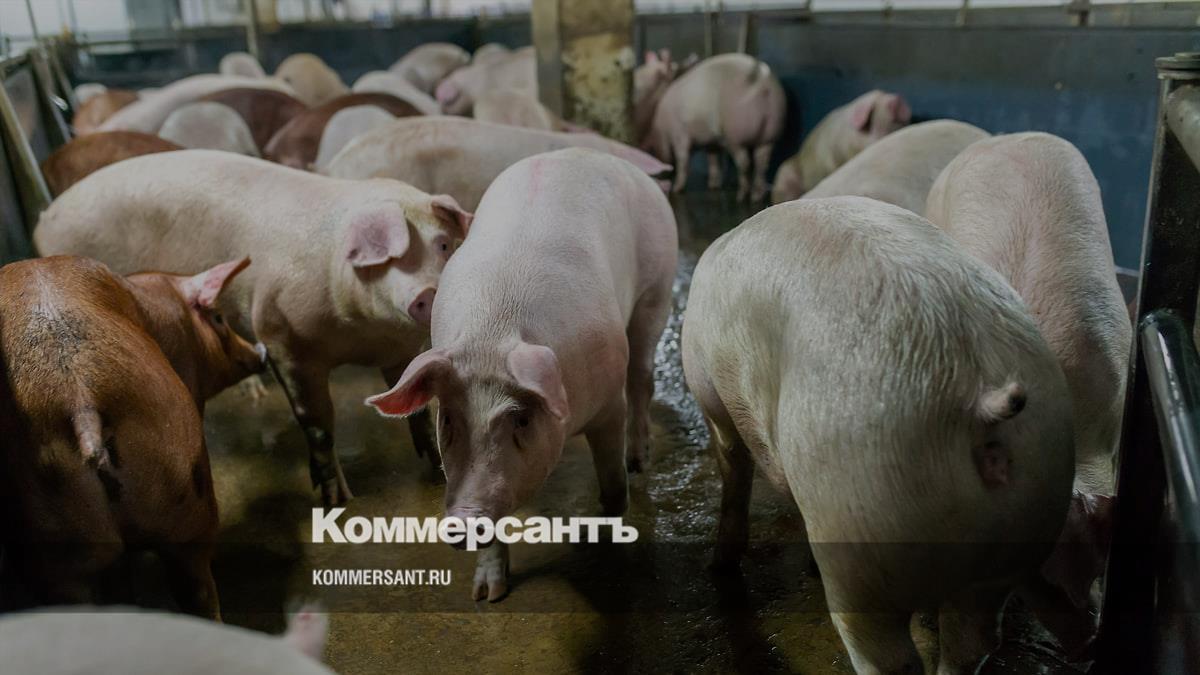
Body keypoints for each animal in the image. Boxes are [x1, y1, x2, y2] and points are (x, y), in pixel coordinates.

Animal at [0, 255, 265, 618]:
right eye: (219, 318)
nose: (261, 352)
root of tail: (79, 399)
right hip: (189, 490)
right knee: (197, 588)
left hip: (52, 546)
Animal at [34, 150, 474, 507]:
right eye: (389, 257)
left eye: (443, 245)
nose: (428, 292)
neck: (363, 336)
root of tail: (45, 219)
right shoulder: (284, 341)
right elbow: (317, 424)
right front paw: (339, 499)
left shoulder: (399, 348)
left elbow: (418, 406)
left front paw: (436, 470)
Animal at [366, 148, 677, 601]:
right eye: (448, 419)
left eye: (521, 419)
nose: (464, 519)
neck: (494, 332)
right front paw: (487, 595)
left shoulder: (608, 405)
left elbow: (612, 482)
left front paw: (612, 536)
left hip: (657, 291)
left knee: (642, 377)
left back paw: (640, 461)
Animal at [644, 53, 786, 202]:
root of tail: (761, 79)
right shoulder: (712, 141)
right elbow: (713, 159)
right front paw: (713, 185)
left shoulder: (680, 132)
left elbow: (683, 159)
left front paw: (677, 189)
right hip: (770, 134)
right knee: (762, 163)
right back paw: (756, 197)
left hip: (734, 135)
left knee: (744, 162)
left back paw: (741, 196)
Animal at [681, 196, 1074, 673]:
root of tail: (978, 394)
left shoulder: (713, 400)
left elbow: (733, 468)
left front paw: (717, 567)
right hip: (1024, 518)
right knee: (971, 642)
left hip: (862, 521)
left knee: (886, 653)